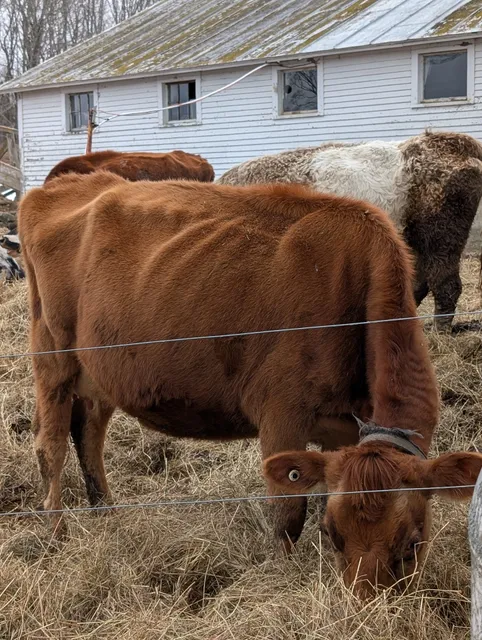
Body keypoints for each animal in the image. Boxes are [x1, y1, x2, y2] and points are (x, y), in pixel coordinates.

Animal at [19, 171, 482, 597]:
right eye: (334, 534)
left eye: (413, 544)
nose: (364, 606)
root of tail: (65, 184)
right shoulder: (281, 413)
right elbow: (288, 512)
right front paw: (283, 575)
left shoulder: (342, 428)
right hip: (53, 355)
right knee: (50, 444)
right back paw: (57, 532)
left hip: (99, 371)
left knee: (88, 435)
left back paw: (105, 512)